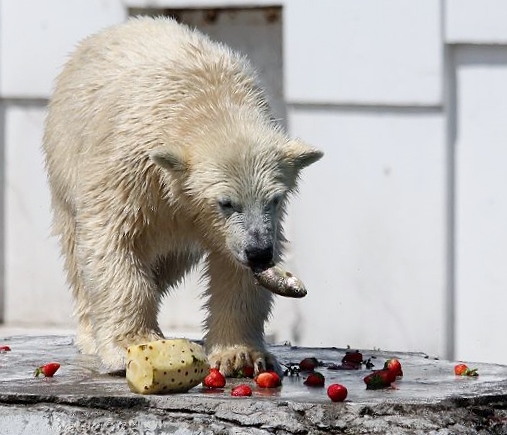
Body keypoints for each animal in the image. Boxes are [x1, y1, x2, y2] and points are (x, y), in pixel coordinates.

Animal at [41, 17, 324, 376]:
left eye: (273, 199)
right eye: (226, 202)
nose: (259, 253)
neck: (207, 103)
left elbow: (233, 270)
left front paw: (240, 355)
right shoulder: (130, 173)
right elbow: (113, 242)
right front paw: (130, 345)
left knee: (168, 263)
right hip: (65, 158)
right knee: (79, 251)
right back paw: (91, 333)